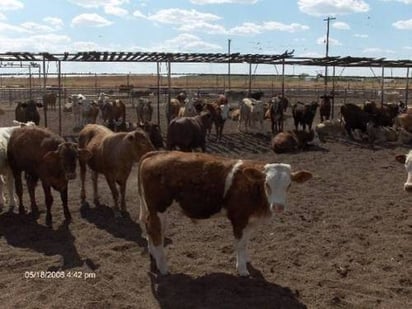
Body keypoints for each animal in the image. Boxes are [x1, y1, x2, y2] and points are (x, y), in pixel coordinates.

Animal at [137, 150, 310, 276]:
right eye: (267, 183)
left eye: (289, 185)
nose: (278, 206)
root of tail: (156, 154)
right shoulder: (239, 218)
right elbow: (240, 244)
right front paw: (242, 269)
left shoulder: (251, 221)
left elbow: (246, 242)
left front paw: (246, 260)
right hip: (158, 208)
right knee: (155, 230)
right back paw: (163, 268)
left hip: (154, 210)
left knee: (151, 228)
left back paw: (153, 254)